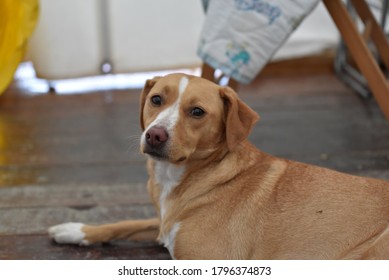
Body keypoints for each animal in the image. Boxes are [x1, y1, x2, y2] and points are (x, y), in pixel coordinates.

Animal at [48, 73, 388, 260]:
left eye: (197, 112)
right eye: (156, 100)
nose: (154, 134)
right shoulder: (164, 224)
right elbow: (128, 222)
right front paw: (76, 230)